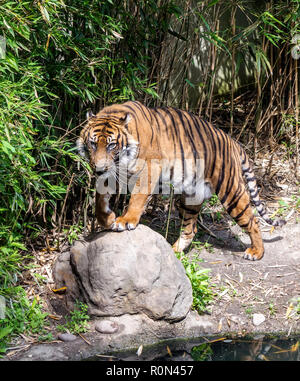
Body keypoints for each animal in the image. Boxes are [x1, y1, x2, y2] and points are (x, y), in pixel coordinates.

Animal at [76, 101, 284, 260]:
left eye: (111, 145)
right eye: (92, 143)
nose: (98, 169)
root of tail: (232, 141)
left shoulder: (149, 169)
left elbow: (137, 198)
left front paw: (125, 221)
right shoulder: (110, 174)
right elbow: (100, 201)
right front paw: (108, 219)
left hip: (231, 192)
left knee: (253, 221)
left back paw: (256, 252)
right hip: (190, 198)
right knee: (190, 229)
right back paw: (174, 251)